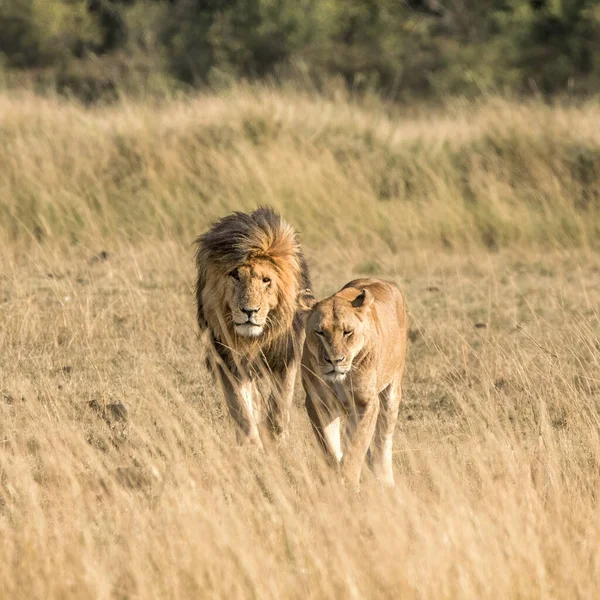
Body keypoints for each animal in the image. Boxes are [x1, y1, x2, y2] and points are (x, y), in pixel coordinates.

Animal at [196, 206, 314, 446]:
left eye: (266, 280)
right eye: (235, 275)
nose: (249, 311)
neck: (254, 338)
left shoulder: (286, 353)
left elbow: (281, 404)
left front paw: (277, 439)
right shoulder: (228, 359)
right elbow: (241, 408)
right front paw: (252, 446)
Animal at [300, 278, 408, 488]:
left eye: (347, 332)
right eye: (319, 332)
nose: (334, 360)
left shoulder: (365, 403)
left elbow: (356, 446)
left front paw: (349, 483)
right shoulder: (318, 403)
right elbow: (329, 446)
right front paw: (336, 475)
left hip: (391, 391)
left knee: (384, 439)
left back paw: (385, 479)